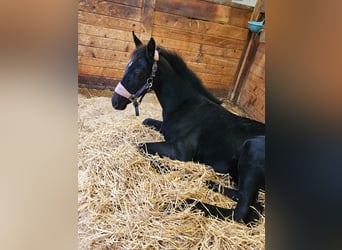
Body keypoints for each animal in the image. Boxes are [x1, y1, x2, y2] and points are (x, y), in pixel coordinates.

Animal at [111, 31, 264, 225]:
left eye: (139, 71)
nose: (115, 101)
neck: (186, 106)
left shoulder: (181, 152)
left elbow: (142, 146)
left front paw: (164, 167)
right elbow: (146, 121)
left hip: (251, 153)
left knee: (241, 213)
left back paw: (182, 203)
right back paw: (204, 181)